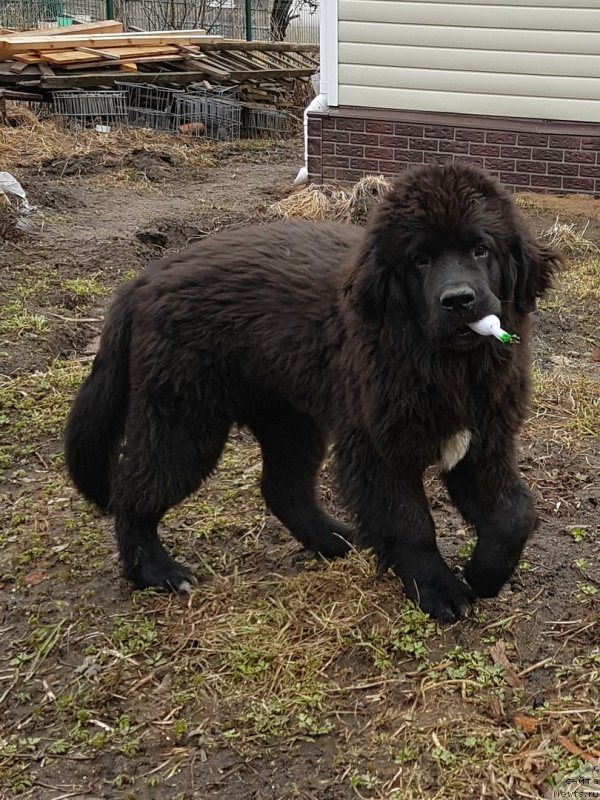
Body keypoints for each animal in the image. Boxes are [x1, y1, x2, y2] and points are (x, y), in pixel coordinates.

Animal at [67, 162, 564, 620]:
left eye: (481, 250)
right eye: (420, 260)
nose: (459, 300)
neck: (445, 365)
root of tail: (139, 283)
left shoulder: (482, 440)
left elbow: (516, 514)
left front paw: (485, 575)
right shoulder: (377, 449)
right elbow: (411, 524)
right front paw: (437, 589)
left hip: (288, 419)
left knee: (282, 489)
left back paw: (336, 540)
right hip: (182, 420)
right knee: (134, 492)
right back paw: (155, 572)